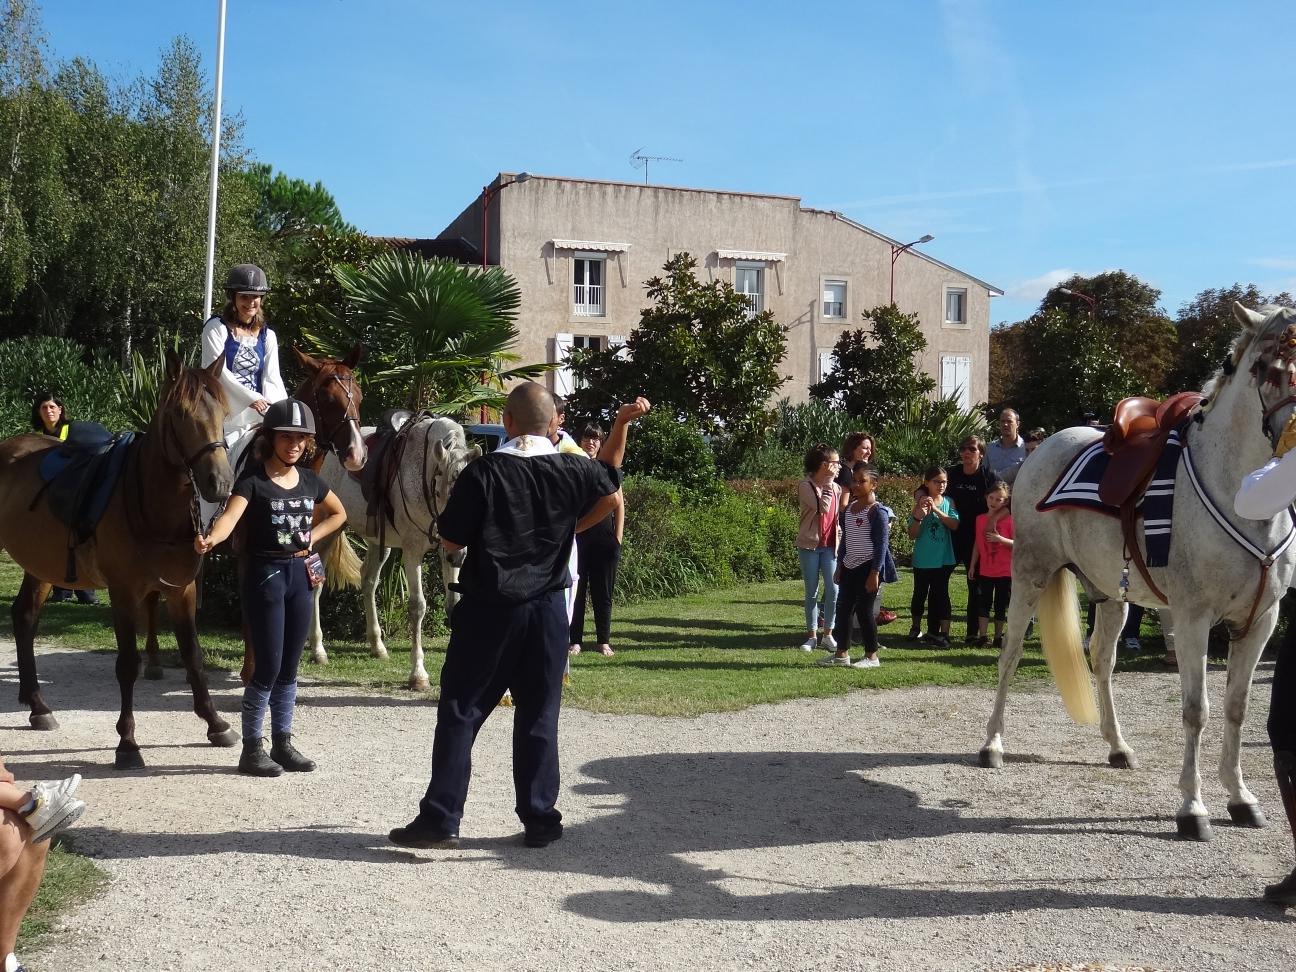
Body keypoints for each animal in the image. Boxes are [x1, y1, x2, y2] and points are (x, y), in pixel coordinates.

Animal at [0, 349, 235, 767]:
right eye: (180, 414)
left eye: (225, 412)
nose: (220, 484)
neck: (151, 507)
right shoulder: (124, 593)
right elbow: (127, 665)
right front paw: (127, 742)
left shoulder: (182, 591)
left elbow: (193, 656)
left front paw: (215, 723)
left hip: (41, 565)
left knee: (24, 617)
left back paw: (38, 706)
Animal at [309, 414, 482, 689]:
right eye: (442, 489)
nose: (459, 554)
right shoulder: (412, 552)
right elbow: (417, 606)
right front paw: (418, 674)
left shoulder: (446, 554)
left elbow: (453, 602)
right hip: (328, 532)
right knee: (317, 584)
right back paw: (318, 650)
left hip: (378, 542)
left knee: (368, 580)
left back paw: (377, 646)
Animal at [979, 305, 1296, 844]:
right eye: (1265, 368)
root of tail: (1046, 446)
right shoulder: (1192, 619)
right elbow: (1197, 711)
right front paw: (1192, 808)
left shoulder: (1259, 622)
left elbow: (1236, 708)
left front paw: (1241, 798)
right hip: (1030, 576)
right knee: (1011, 654)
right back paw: (993, 745)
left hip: (1111, 596)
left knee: (1101, 660)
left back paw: (1117, 746)